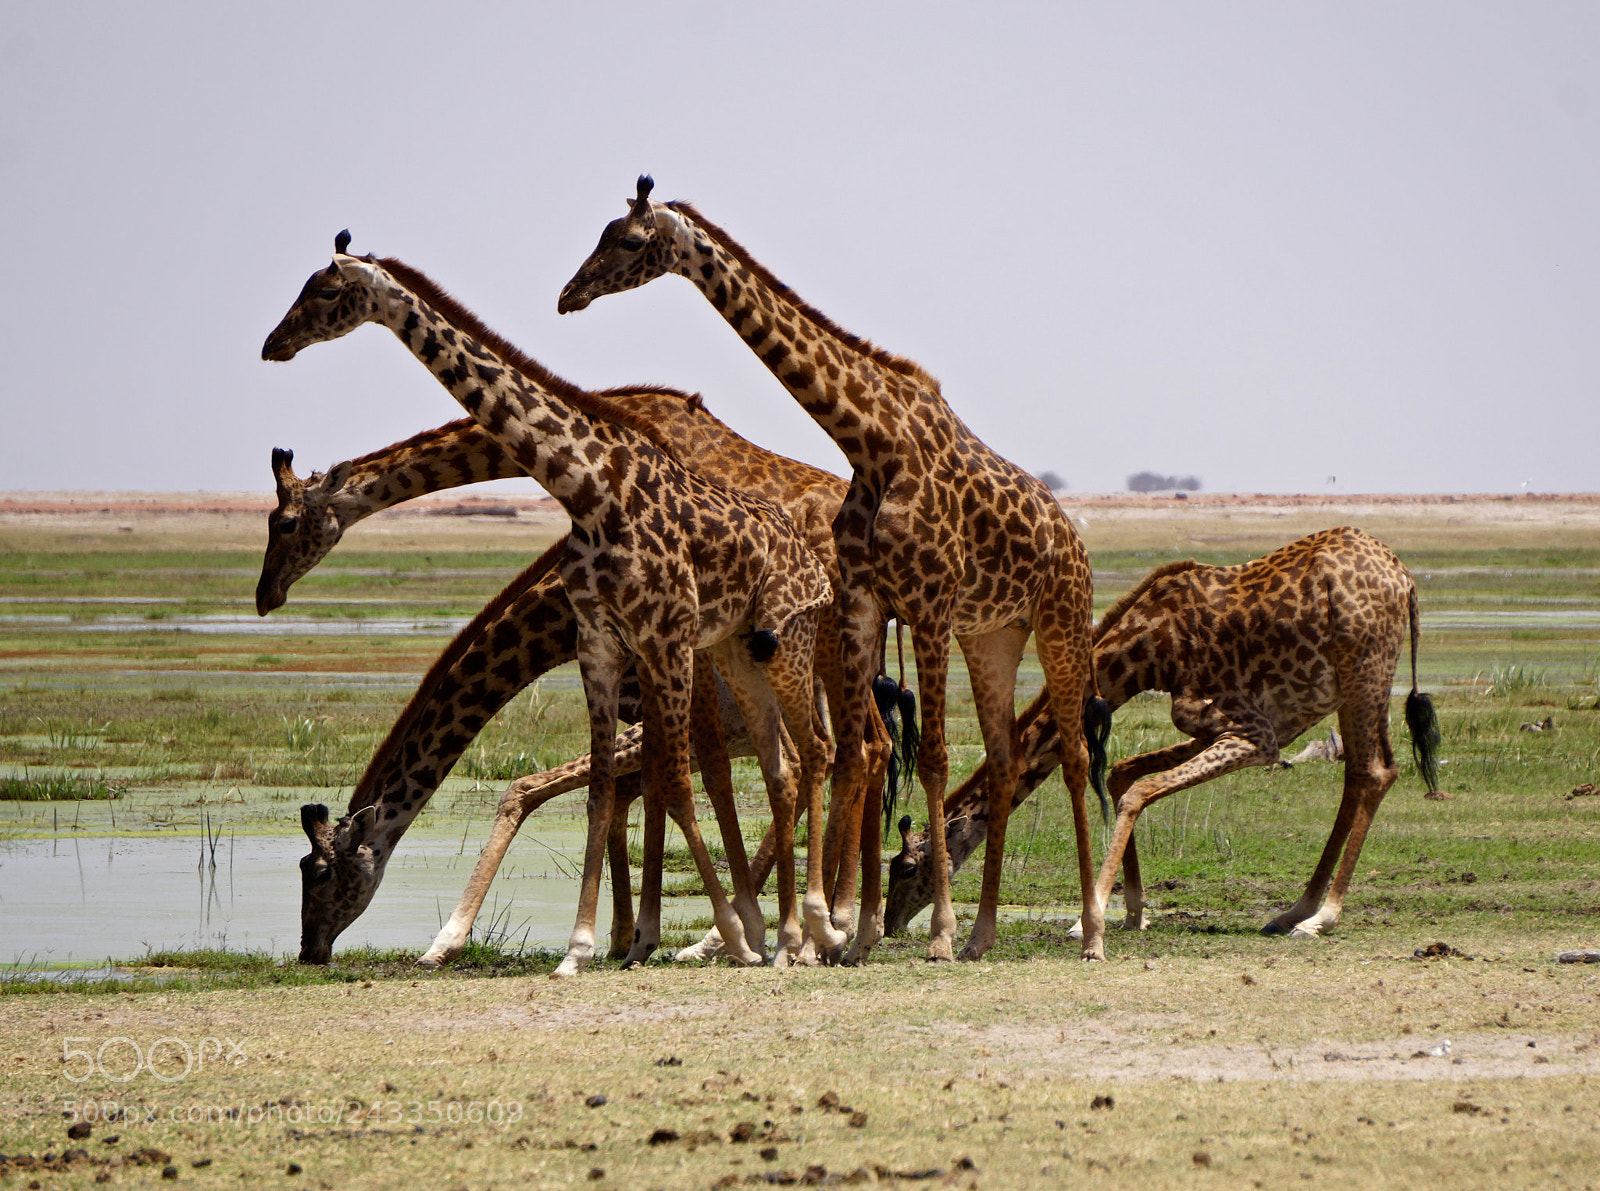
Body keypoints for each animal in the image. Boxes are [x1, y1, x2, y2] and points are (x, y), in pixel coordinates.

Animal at [263, 234, 839, 974]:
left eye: (321, 872)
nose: (275, 343)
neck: (589, 482)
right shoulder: (612, 653)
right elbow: (613, 793)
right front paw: (609, 940)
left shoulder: (665, 649)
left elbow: (679, 782)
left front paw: (719, 932)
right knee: (815, 760)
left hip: (803, 646)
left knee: (832, 753)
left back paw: (815, 927)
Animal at [560, 178, 1107, 961]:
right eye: (602, 233)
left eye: (629, 240)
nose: (569, 295)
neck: (871, 440)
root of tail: (1073, 535)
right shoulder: (865, 601)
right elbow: (851, 752)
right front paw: (851, 933)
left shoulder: (929, 604)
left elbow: (932, 758)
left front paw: (930, 933)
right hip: (994, 634)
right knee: (1004, 761)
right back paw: (982, 934)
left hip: (1062, 617)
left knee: (1072, 754)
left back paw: (1088, 931)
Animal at [882, 527, 1443, 941]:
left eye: (905, 868)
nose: (889, 926)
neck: (1149, 653)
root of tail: (1406, 580)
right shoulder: (1230, 729)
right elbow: (1122, 775)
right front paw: (1133, 913)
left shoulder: (1254, 735)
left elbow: (1137, 791)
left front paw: (1088, 918)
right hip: (1357, 688)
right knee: (1365, 775)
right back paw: (1293, 912)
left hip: (1365, 671)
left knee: (1372, 772)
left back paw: (1322, 917)